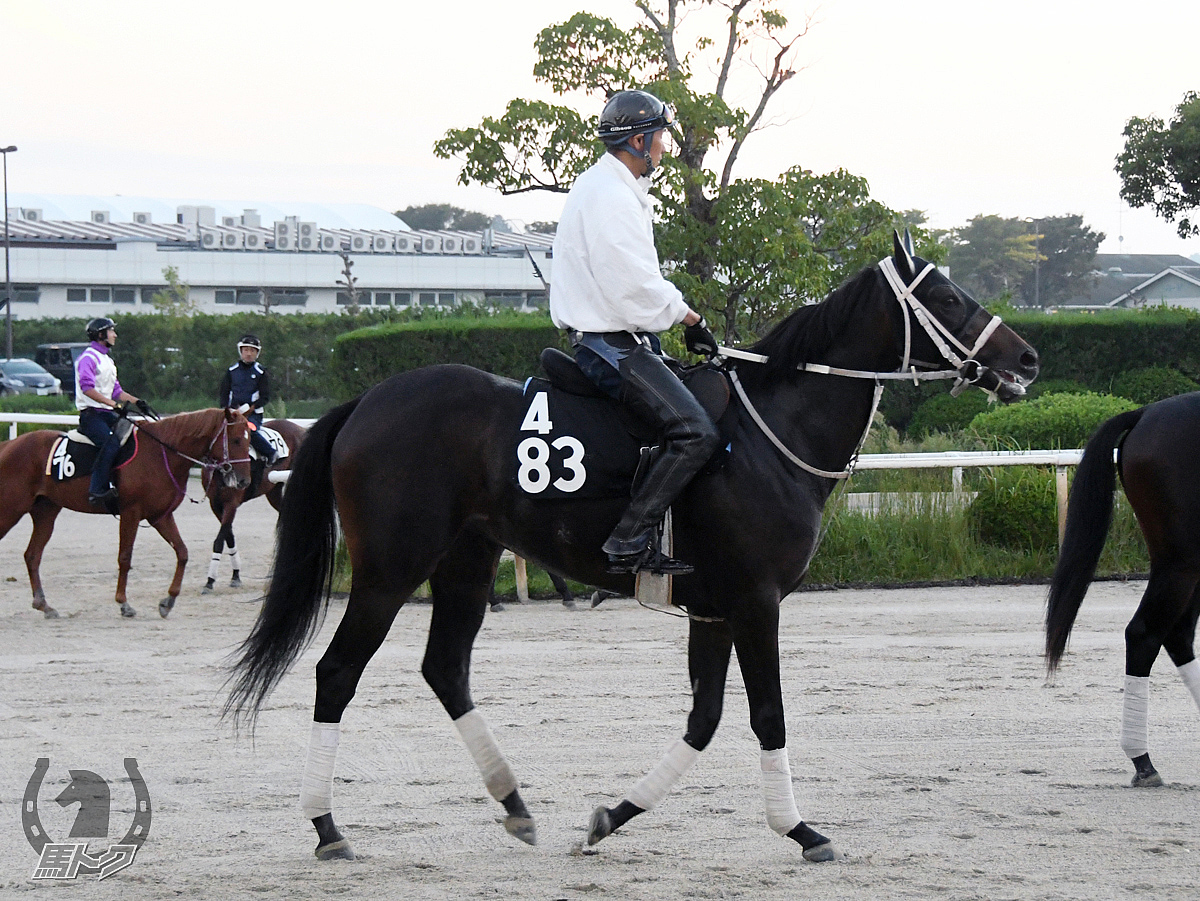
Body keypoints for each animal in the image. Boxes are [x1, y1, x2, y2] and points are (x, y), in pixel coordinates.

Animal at [0, 407, 250, 619]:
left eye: (249, 441)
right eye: (236, 439)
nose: (244, 481)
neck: (161, 453)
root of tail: (9, 445)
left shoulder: (160, 516)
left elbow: (182, 552)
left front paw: (168, 601)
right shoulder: (131, 513)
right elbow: (125, 557)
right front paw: (123, 603)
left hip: (45, 513)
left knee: (32, 555)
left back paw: (44, 605)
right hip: (10, 510)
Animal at [226, 233, 1041, 868]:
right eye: (951, 296)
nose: (1028, 359)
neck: (770, 431)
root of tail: (368, 400)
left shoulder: (712, 611)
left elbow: (704, 721)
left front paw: (609, 818)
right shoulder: (756, 603)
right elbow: (768, 714)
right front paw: (800, 829)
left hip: (466, 562)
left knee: (446, 669)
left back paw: (514, 802)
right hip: (391, 569)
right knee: (337, 673)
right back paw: (327, 826)